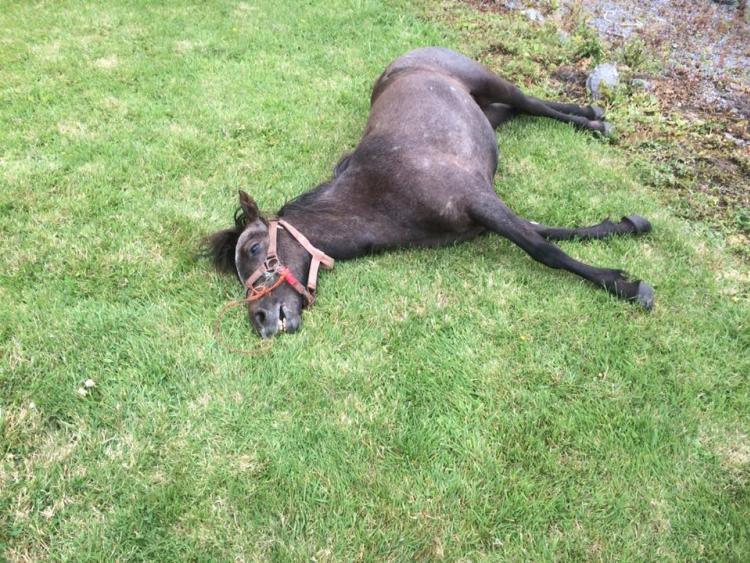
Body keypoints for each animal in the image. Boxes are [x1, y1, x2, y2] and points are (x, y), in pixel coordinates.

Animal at [206, 47, 654, 339]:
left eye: (253, 249)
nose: (261, 320)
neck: (382, 192)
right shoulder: (483, 215)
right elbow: (550, 231)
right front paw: (625, 226)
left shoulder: (480, 201)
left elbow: (545, 249)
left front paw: (626, 287)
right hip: (486, 113)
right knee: (518, 112)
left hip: (493, 83)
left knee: (533, 103)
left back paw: (594, 119)